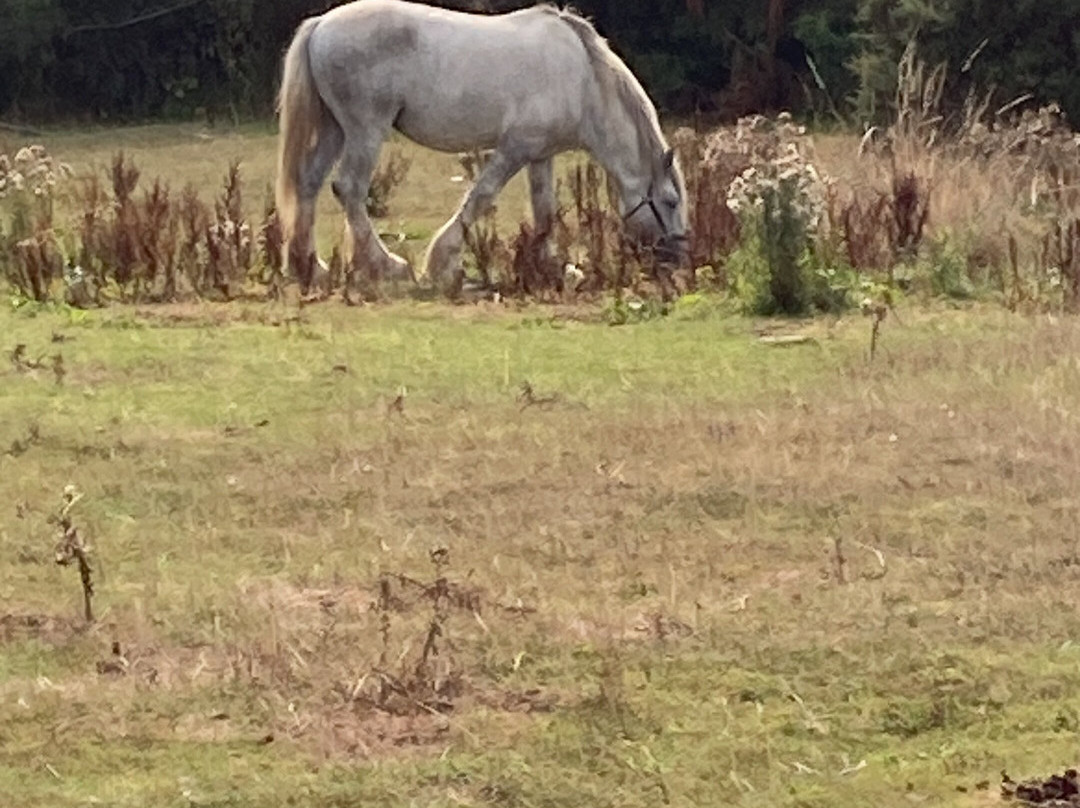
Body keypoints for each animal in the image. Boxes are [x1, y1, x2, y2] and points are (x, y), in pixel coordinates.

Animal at [275, 0, 688, 294]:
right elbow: (480, 196)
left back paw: (309, 267)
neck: (583, 80)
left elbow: (544, 212)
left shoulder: (540, 155)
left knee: (309, 184)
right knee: (349, 189)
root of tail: (320, 25)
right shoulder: (513, 150)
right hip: (365, 131)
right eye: (670, 202)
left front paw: (549, 268)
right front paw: (441, 263)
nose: (680, 257)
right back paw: (388, 266)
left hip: (336, 130)